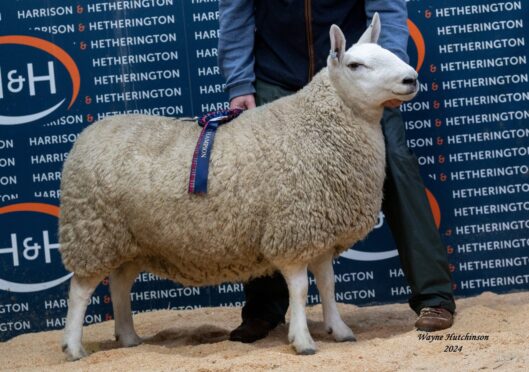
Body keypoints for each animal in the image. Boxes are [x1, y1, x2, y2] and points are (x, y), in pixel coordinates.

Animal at [60, 14, 416, 360]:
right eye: (355, 65)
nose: (411, 79)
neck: (317, 126)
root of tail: (86, 135)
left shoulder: (319, 234)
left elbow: (328, 286)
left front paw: (339, 331)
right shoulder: (291, 231)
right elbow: (300, 289)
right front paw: (302, 341)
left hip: (131, 240)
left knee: (119, 284)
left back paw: (129, 338)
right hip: (92, 232)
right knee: (80, 290)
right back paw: (74, 348)